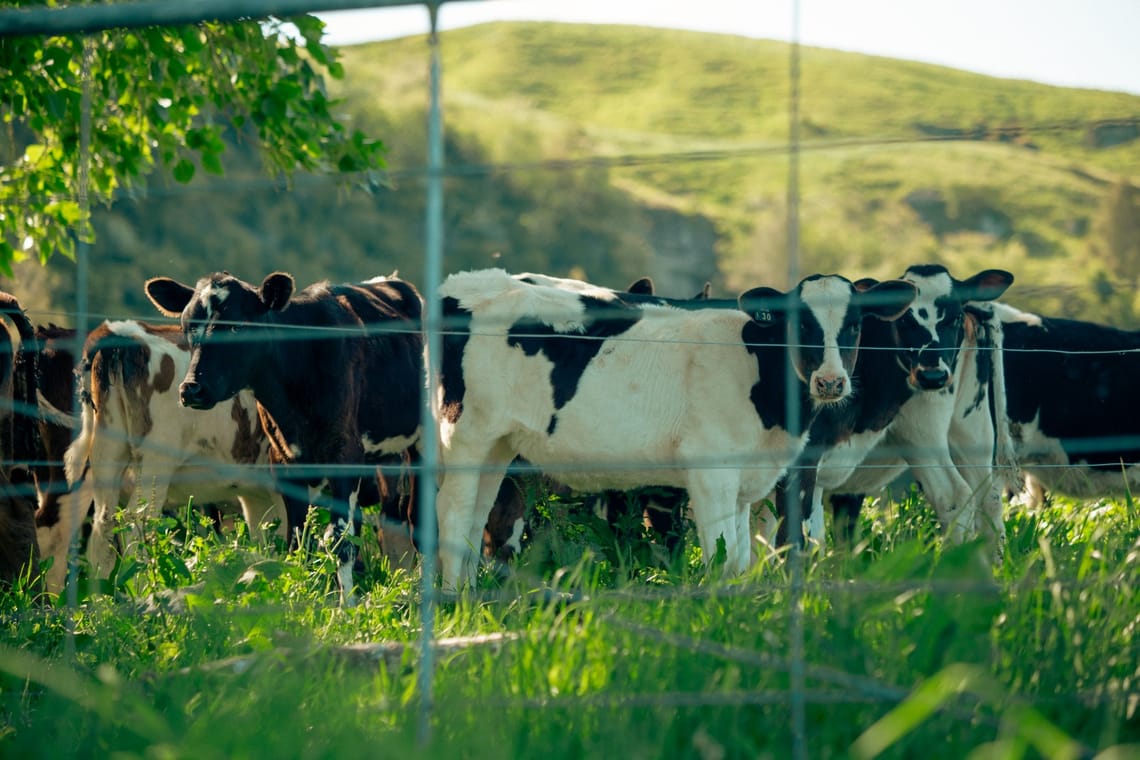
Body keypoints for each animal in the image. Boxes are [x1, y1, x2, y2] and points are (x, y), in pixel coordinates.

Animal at [39, 321, 289, 592]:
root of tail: (118, 331)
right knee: (134, 524)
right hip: (154, 462)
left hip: (105, 454)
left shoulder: (257, 495)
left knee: (97, 530)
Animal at [144, 272, 426, 606]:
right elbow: (299, 538)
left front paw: (346, 605)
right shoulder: (285, 460)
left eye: (237, 326)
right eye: (187, 325)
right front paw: (304, 596)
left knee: (416, 518)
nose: (191, 389)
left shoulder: (345, 453)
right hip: (383, 455)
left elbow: (339, 539)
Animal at [430, 267, 912, 587]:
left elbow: (739, 560)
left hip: (498, 444)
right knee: (452, 512)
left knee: (479, 514)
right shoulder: (711, 472)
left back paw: (473, 591)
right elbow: (721, 557)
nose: (830, 381)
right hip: (465, 435)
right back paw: (455, 596)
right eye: (802, 324)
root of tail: (469, 280)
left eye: (854, 325)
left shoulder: (746, 480)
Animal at [775, 267, 1016, 558]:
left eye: (954, 318)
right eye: (903, 321)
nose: (933, 375)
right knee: (986, 499)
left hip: (925, 436)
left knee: (954, 493)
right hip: (970, 432)